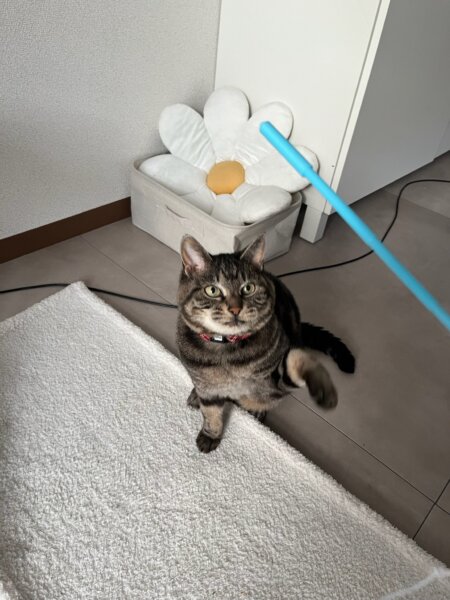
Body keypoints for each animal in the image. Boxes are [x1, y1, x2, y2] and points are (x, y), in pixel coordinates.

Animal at [176, 235, 355, 453]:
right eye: (212, 290)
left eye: (248, 288)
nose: (235, 309)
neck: (226, 352)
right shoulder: (208, 390)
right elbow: (211, 413)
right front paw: (210, 434)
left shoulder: (274, 381)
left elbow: (296, 363)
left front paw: (322, 388)